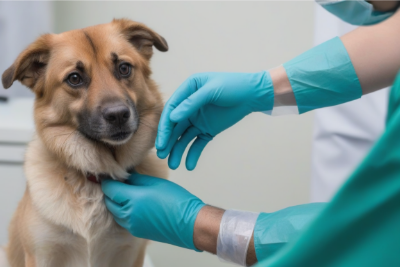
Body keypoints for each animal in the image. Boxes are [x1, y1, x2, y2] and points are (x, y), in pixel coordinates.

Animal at [0, 19, 169, 267]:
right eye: (74, 78)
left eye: (124, 68)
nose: (118, 115)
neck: (95, 177)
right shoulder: (41, 255)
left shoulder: (130, 254)